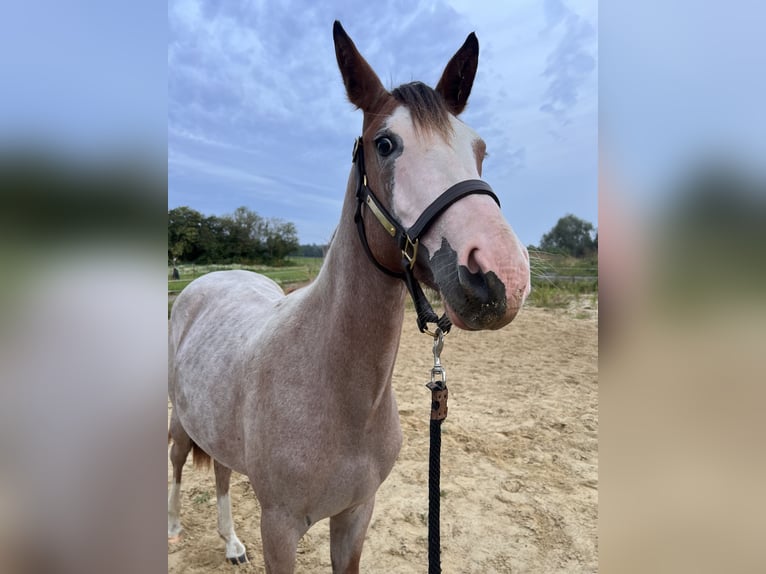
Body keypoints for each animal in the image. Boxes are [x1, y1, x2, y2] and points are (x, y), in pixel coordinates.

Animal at [168, 20, 530, 573]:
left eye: (480, 148)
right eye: (385, 144)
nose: (501, 273)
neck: (338, 392)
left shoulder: (357, 514)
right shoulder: (279, 528)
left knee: (223, 472)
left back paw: (231, 544)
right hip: (178, 419)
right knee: (175, 461)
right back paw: (169, 530)